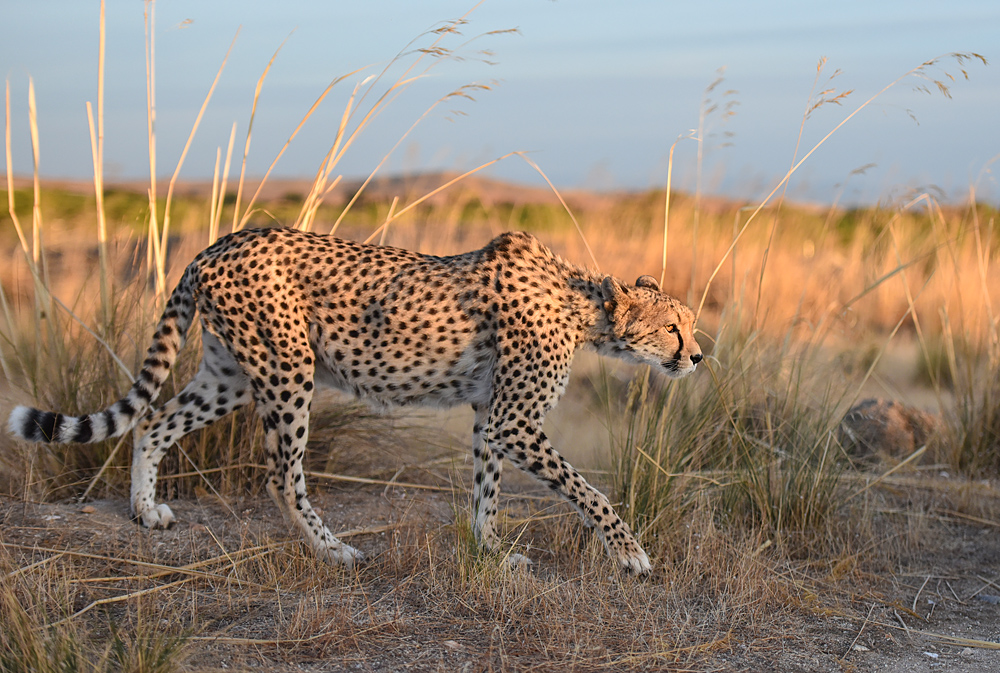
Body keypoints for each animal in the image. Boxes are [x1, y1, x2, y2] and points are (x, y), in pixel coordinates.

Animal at [5, 227, 704, 572]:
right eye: (674, 327)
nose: (698, 356)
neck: (586, 309)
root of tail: (218, 243)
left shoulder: (490, 418)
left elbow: (487, 491)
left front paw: (490, 554)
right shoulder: (514, 420)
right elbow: (591, 491)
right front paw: (632, 555)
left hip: (231, 374)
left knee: (153, 420)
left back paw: (146, 511)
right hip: (290, 369)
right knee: (281, 476)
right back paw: (333, 550)